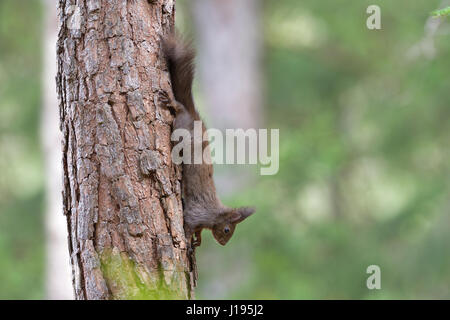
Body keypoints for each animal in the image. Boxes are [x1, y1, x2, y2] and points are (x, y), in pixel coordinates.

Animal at [160, 36, 255, 249]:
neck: (215, 215)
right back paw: (172, 103)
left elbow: (199, 231)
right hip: (181, 128)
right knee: (180, 110)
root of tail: (195, 117)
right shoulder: (197, 213)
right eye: (227, 230)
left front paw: (199, 240)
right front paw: (187, 239)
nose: (223, 244)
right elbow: (189, 224)